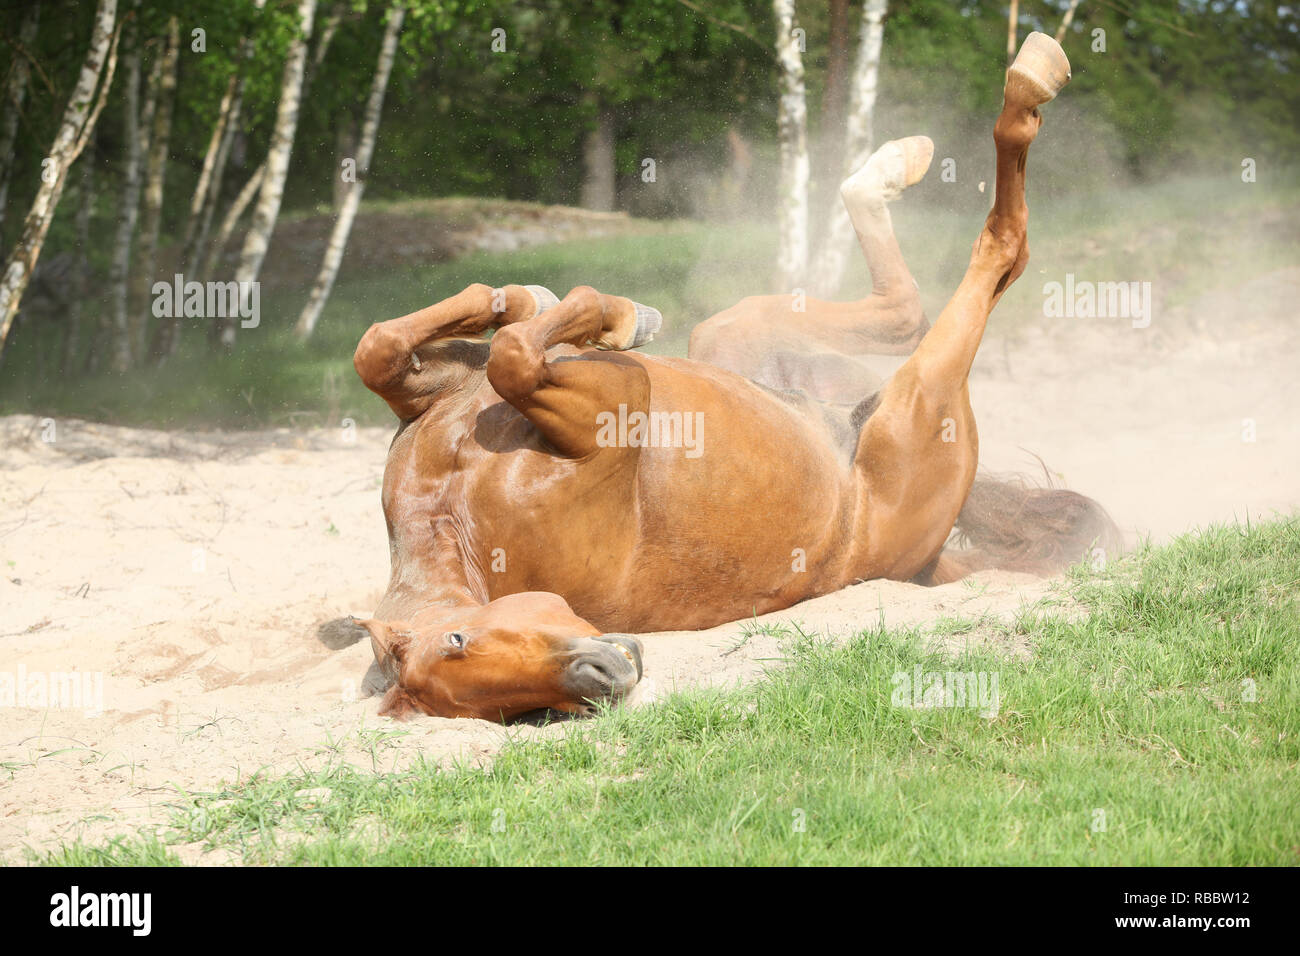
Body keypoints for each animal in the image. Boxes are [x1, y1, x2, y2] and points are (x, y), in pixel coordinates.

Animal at [351, 35, 1112, 723]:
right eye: (510, 710)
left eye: (459, 638)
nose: (605, 676)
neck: (457, 508)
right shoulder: (607, 406)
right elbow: (509, 355)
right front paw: (596, 314)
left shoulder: (453, 396)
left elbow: (392, 346)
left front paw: (552, 304)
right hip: (913, 408)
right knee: (994, 256)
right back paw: (1025, 86)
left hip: (731, 341)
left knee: (905, 308)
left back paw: (904, 157)